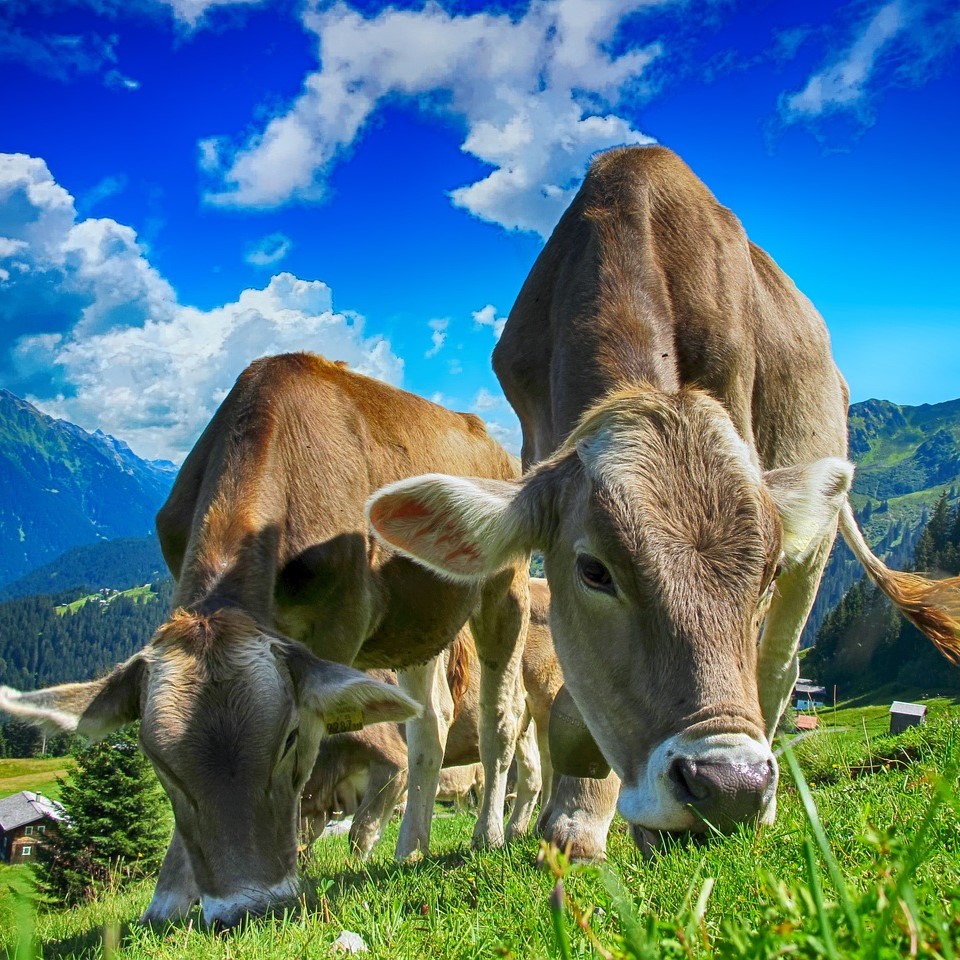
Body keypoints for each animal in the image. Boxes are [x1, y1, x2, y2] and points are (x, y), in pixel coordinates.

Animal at [0, 354, 532, 928]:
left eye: (290, 740)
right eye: (158, 763)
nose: (246, 907)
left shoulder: (338, 627)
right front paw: (167, 899)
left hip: (506, 589)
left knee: (501, 718)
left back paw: (489, 835)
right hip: (417, 626)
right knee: (429, 725)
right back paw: (410, 847)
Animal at [366, 148, 960, 856]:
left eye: (764, 574)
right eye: (594, 571)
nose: (730, 787)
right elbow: (571, 701)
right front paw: (574, 821)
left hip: (814, 543)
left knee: (779, 667)